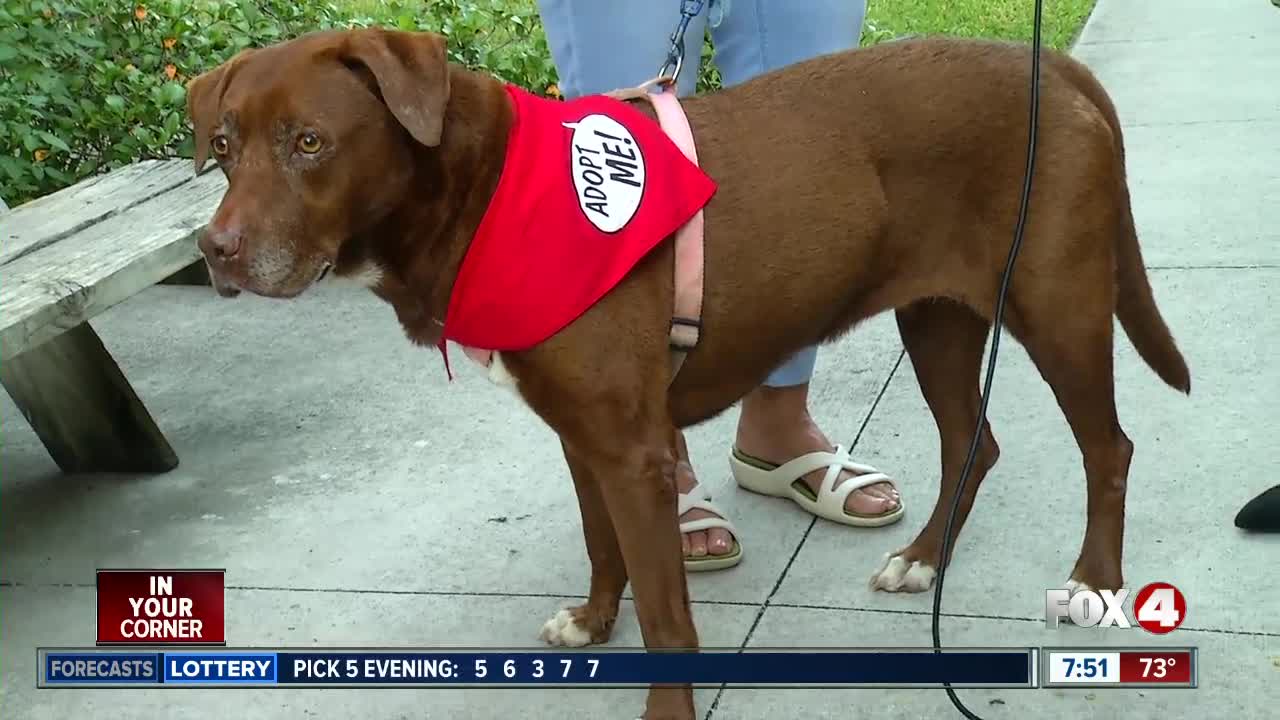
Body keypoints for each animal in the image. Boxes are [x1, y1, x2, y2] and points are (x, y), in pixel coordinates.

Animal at [186, 28, 1187, 717]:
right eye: (225, 148)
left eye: (310, 143)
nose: (215, 251)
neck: (487, 187)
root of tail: (1051, 66)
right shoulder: (585, 435)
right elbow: (603, 548)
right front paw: (592, 625)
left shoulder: (631, 452)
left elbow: (668, 615)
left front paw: (664, 708)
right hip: (937, 317)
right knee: (971, 445)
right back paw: (922, 560)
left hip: (1058, 307)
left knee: (1110, 448)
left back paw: (1095, 582)